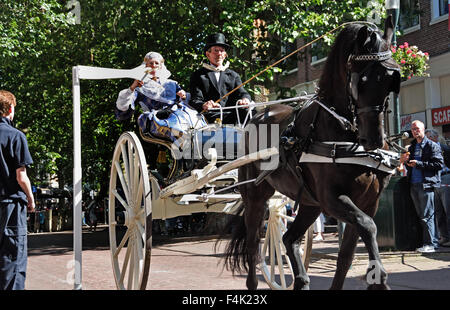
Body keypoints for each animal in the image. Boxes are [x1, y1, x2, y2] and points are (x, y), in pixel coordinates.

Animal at [221, 15, 400, 290]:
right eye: (363, 80)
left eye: (392, 80)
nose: (373, 139)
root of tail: (256, 116)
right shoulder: (332, 199)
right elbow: (368, 227)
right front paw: (379, 278)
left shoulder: (368, 201)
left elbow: (346, 255)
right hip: (256, 196)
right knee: (252, 246)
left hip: (308, 202)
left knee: (289, 238)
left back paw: (302, 280)